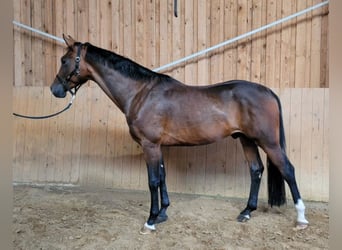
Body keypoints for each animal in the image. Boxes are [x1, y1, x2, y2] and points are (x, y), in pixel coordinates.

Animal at [51, 34, 310, 232]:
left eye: (64, 60)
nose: (55, 89)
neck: (141, 93)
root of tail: (268, 91)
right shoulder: (158, 146)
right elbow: (163, 177)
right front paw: (163, 213)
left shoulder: (150, 145)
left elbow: (153, 181)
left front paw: (151, 220)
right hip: (246, 140)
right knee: (256, 170)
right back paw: (246, 212)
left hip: (268, 142)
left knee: (288, 170)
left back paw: (301, 218)